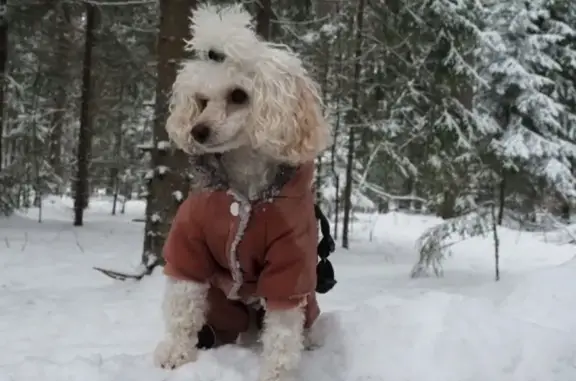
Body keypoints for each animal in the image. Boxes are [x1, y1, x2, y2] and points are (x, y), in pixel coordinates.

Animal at [153, 3, 330, 380]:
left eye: (238, 95)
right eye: (201, 101)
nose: (197, 131)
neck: (245, 194)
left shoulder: (291, 265)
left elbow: (282, 331)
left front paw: (277, 373)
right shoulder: (189, 243)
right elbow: (183, 304)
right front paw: (175, 353)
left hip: (309, 301)